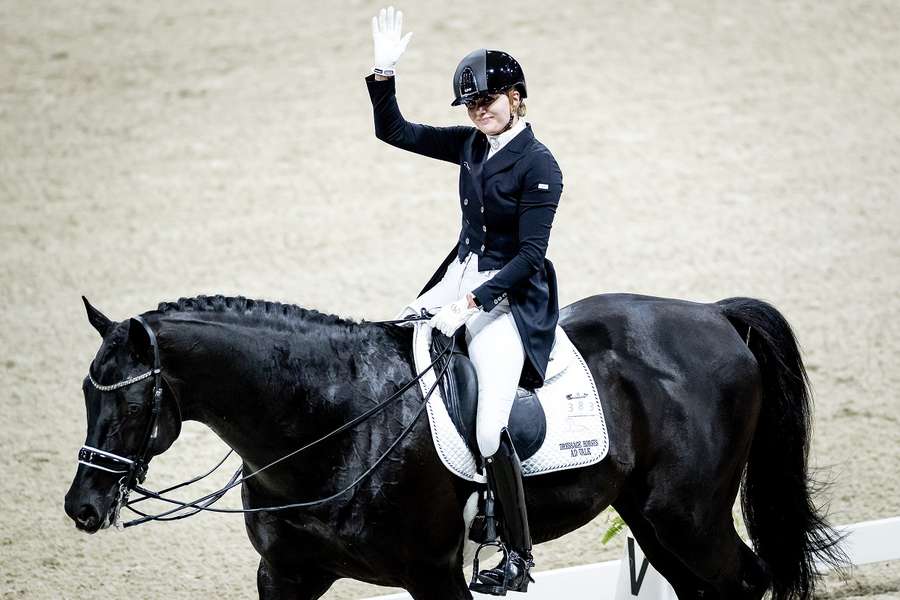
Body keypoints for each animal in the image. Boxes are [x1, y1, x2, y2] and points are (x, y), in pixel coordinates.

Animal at [65, 292, 844, 596]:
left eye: (129, 398)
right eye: (84, 392)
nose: (81, 507)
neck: (332, 425)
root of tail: (712, 315)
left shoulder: (433, 573)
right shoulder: (286, 574)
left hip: (689, 516)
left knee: (744, 579)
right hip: (654, 520)